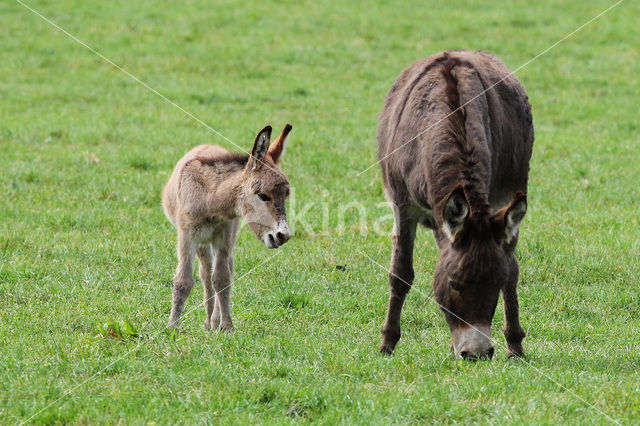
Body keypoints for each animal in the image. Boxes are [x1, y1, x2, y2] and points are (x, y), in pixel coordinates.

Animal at [165, 123, 296, 330]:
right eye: (263, 195)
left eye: (286, 195)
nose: (283, 236)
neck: (210, 200)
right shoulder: (187, 236)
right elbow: (183, 281)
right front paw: (173, 327)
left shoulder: (224, 235)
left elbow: (222, 278)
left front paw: (226, 326)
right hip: (202, 242)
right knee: (205, 273)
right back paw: (207, 322)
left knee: (222, 270)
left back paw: (213, 321)